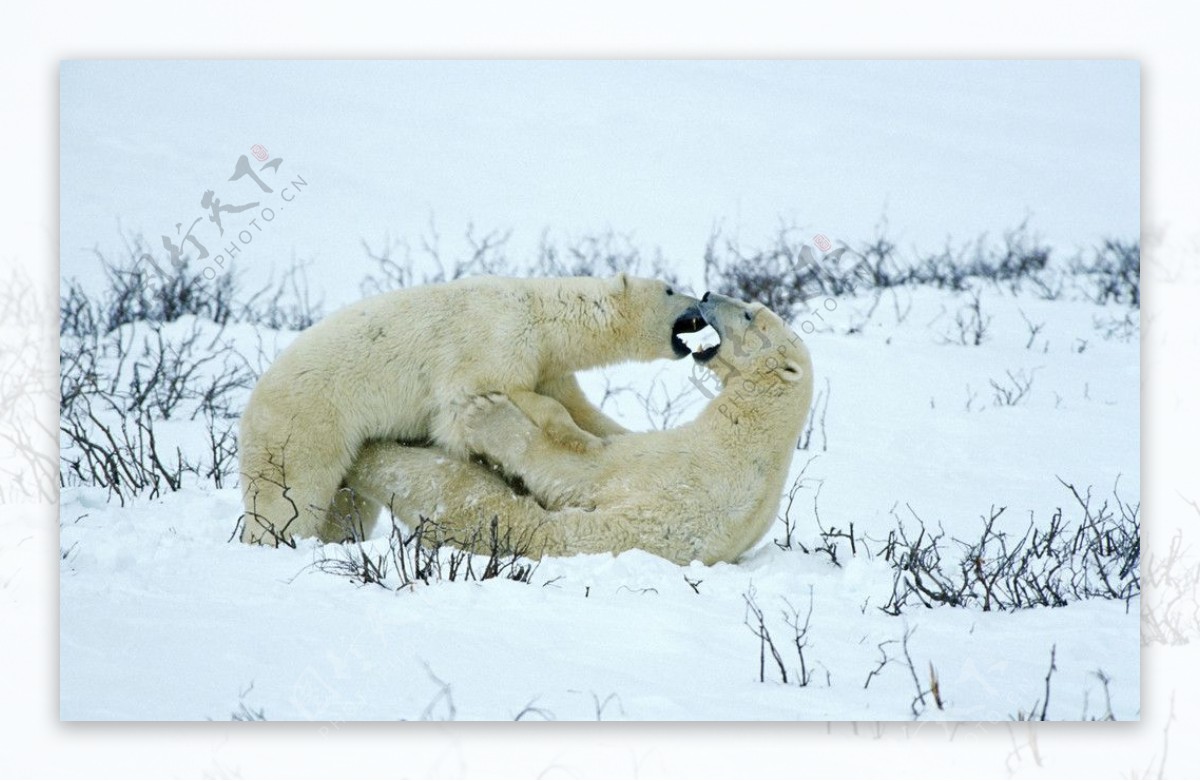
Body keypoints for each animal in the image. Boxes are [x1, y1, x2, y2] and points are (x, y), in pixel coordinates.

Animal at [238, 273, 700, 544]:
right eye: (670, 289)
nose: (700, 302)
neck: (544, 313)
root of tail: (253, 398)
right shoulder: (495, 340)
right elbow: (474, 402)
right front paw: (577, 439)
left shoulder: (547, 364)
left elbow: (578, 404)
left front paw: (609, 437)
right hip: (309, 418)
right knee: (292, 491)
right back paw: (277, 537)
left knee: (348, 505)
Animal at [348, 290, 816, 566]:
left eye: (750, 314)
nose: (707, 294)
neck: (752, 431)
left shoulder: (673, 469)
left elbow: (578, 471)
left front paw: (487, 413)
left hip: (525, 531)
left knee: (455, 490)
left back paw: (375, 454)